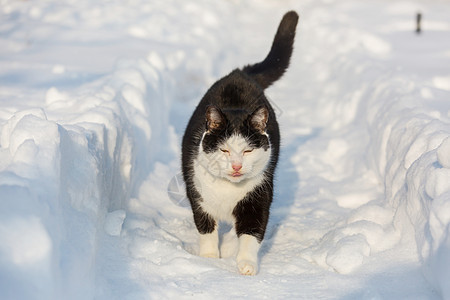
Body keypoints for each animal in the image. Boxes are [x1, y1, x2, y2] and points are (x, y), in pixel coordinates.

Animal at [181, 11, 298, 274]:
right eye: (224, 150)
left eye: (247, 151)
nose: (236, 166)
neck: (228, 190)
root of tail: (239, 73)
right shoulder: (198, 195)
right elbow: (206, 228)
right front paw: (209, 259)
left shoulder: (258, 197)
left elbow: (251, 234)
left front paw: (245, 265)